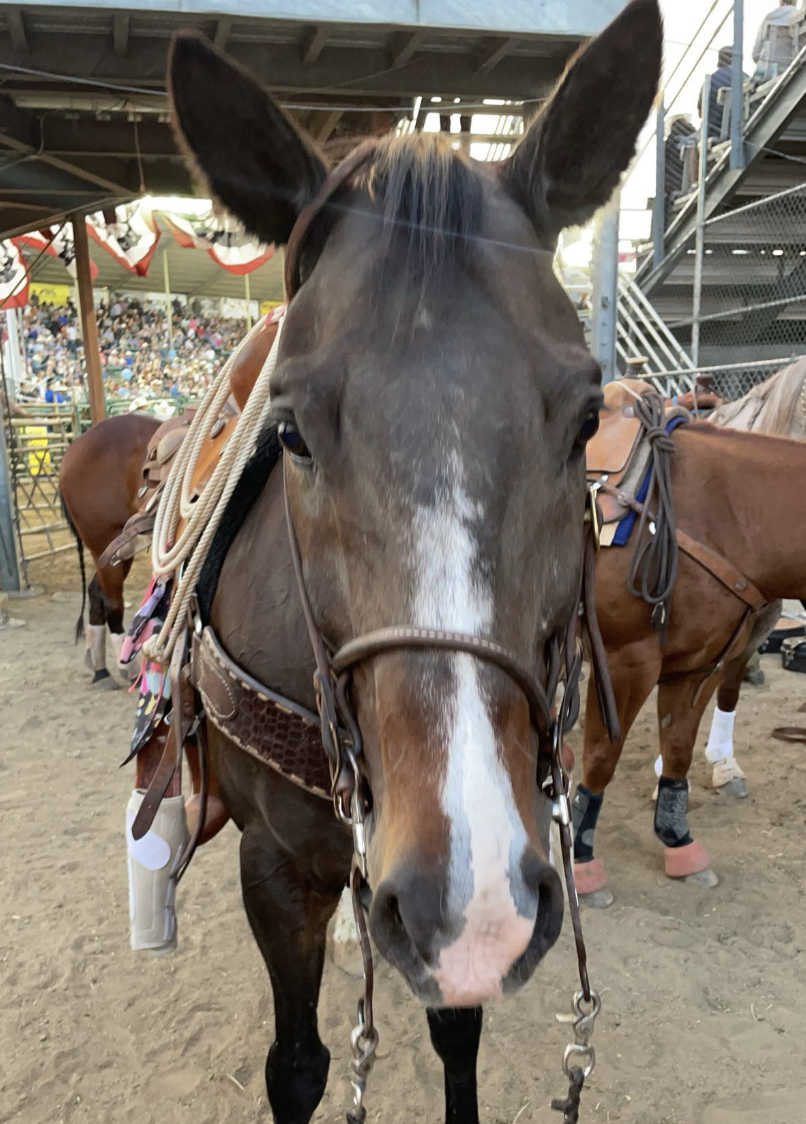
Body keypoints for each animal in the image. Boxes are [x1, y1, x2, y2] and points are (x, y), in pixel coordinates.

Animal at [156, 3, 662, 1120]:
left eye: (588, 418)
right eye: (291, 430)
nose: (458, 902)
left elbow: (455, 1028)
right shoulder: (274, 869)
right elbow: (298, 1064)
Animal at [572, 392, 806, 905]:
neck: (724, 512)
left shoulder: (699, 665)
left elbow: (678, 748)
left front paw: (677, 841)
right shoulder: (623, 660)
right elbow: (601, 757)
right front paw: (581, 861)